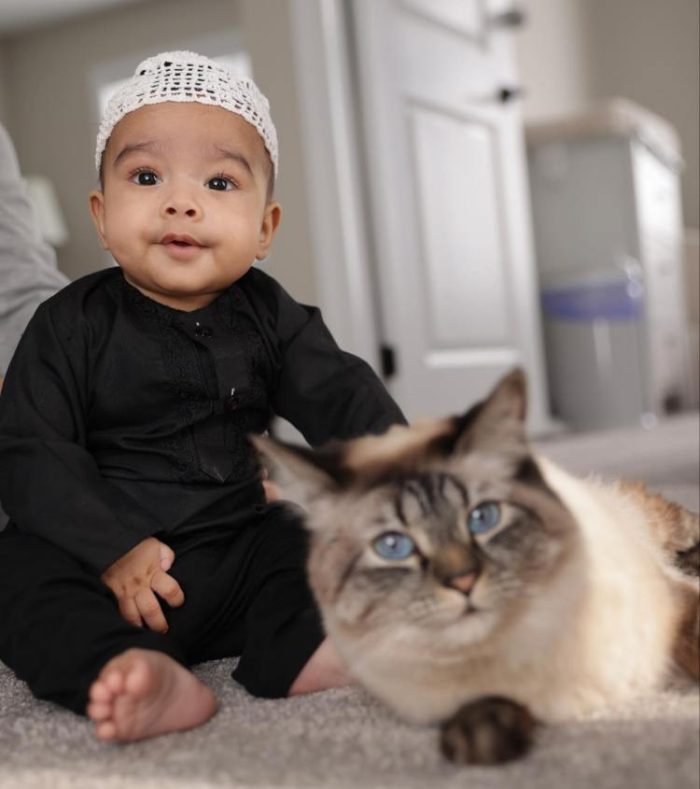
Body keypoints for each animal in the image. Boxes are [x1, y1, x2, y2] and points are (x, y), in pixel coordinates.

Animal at [254, 370, 696, 764]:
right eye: (394, 546)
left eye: (482, 519)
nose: (462, 581)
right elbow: (482, 708)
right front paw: (481, 739)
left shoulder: (671, 608)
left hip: (660, 524)